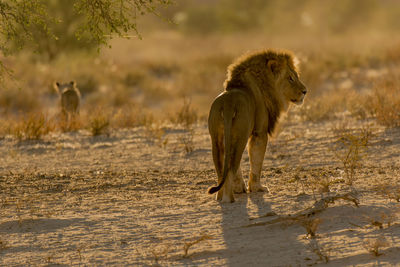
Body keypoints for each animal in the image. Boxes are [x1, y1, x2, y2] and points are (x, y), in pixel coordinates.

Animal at [208, 49, 308, 202]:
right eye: (290, 78)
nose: (305, 91)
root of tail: (227, 104)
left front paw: (240, 189)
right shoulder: (259, 132)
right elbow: (257, 161)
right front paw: (257, 188)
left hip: (217, 139)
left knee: (221, 168)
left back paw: (219, 197)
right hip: (240, 137)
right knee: (231, 167)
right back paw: (228, 198)